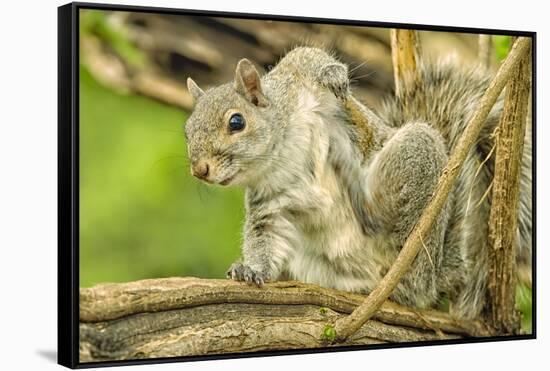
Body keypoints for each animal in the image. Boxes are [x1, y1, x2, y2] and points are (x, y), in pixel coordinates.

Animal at [183, 46, 532, 320]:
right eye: (187, 132)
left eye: (236, 122)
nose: (200, 170)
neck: (280, 152)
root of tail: (437, 277)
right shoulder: (269, 201)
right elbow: (265, 237)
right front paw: (252, 270)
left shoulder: (299, 77)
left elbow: (310, 57)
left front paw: (335, 76)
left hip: (414, 158)